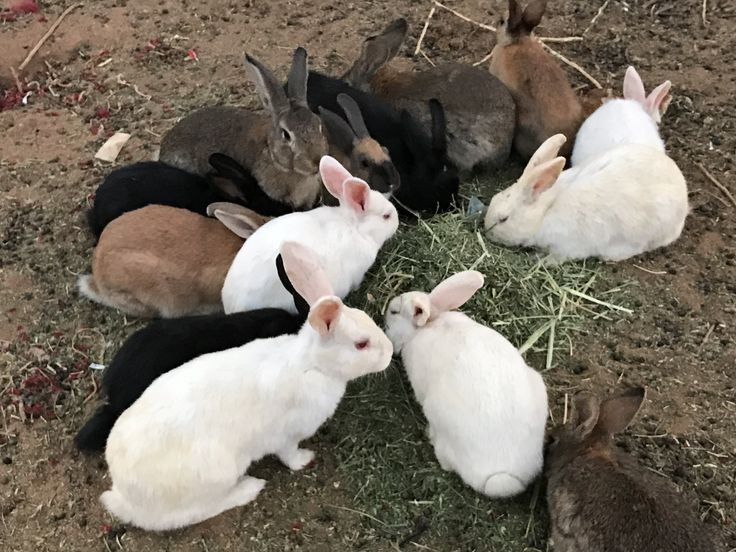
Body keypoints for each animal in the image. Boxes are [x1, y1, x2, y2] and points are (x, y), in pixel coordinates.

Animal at [100, 241, 394, 531]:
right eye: (361, 344)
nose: (390, 352)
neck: (311, 364)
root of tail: (125, 494)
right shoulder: (287, 435)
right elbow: (289, 455)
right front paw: (304, 459)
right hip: (219, 474)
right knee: (192, 513)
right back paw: (250, 488)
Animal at [484, 134, 688, 262]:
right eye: (493, 199)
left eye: (503, 219)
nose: (486, 231)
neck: (545, 211)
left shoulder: (567, 246)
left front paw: (540, 260)